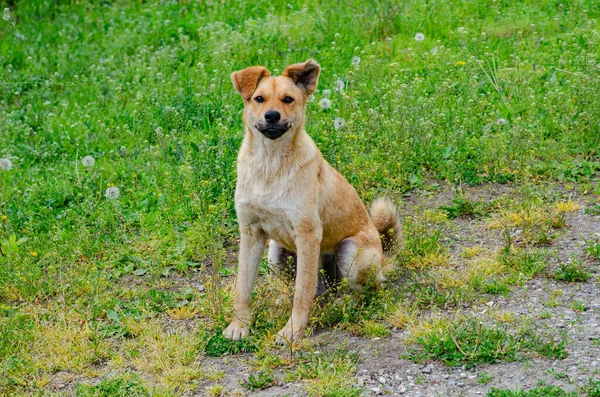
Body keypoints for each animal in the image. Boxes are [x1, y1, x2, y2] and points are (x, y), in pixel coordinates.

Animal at [223, 58, 400, 344]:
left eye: (288, 99)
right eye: (259, 98)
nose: (272, 116)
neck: (270, 166)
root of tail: (385, 260)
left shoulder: (308, 235)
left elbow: (302, 293)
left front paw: (292, 331)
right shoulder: (251, 234)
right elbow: (243, 287)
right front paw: (239, 325)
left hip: (350, 252)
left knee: (359, 290)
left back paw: (343, 304)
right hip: (276, 255)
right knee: (315, 290)